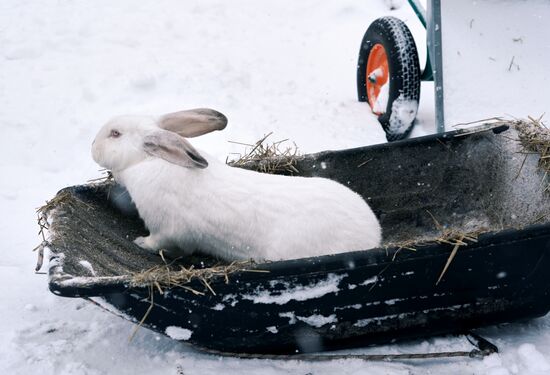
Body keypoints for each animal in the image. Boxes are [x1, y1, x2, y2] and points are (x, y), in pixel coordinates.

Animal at [91, 108, 384, 262]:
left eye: (115, 134)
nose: (92, 148)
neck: (148, 161)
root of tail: (373, 235)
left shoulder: (167, 230)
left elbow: (159, 242)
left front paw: (140, 242)